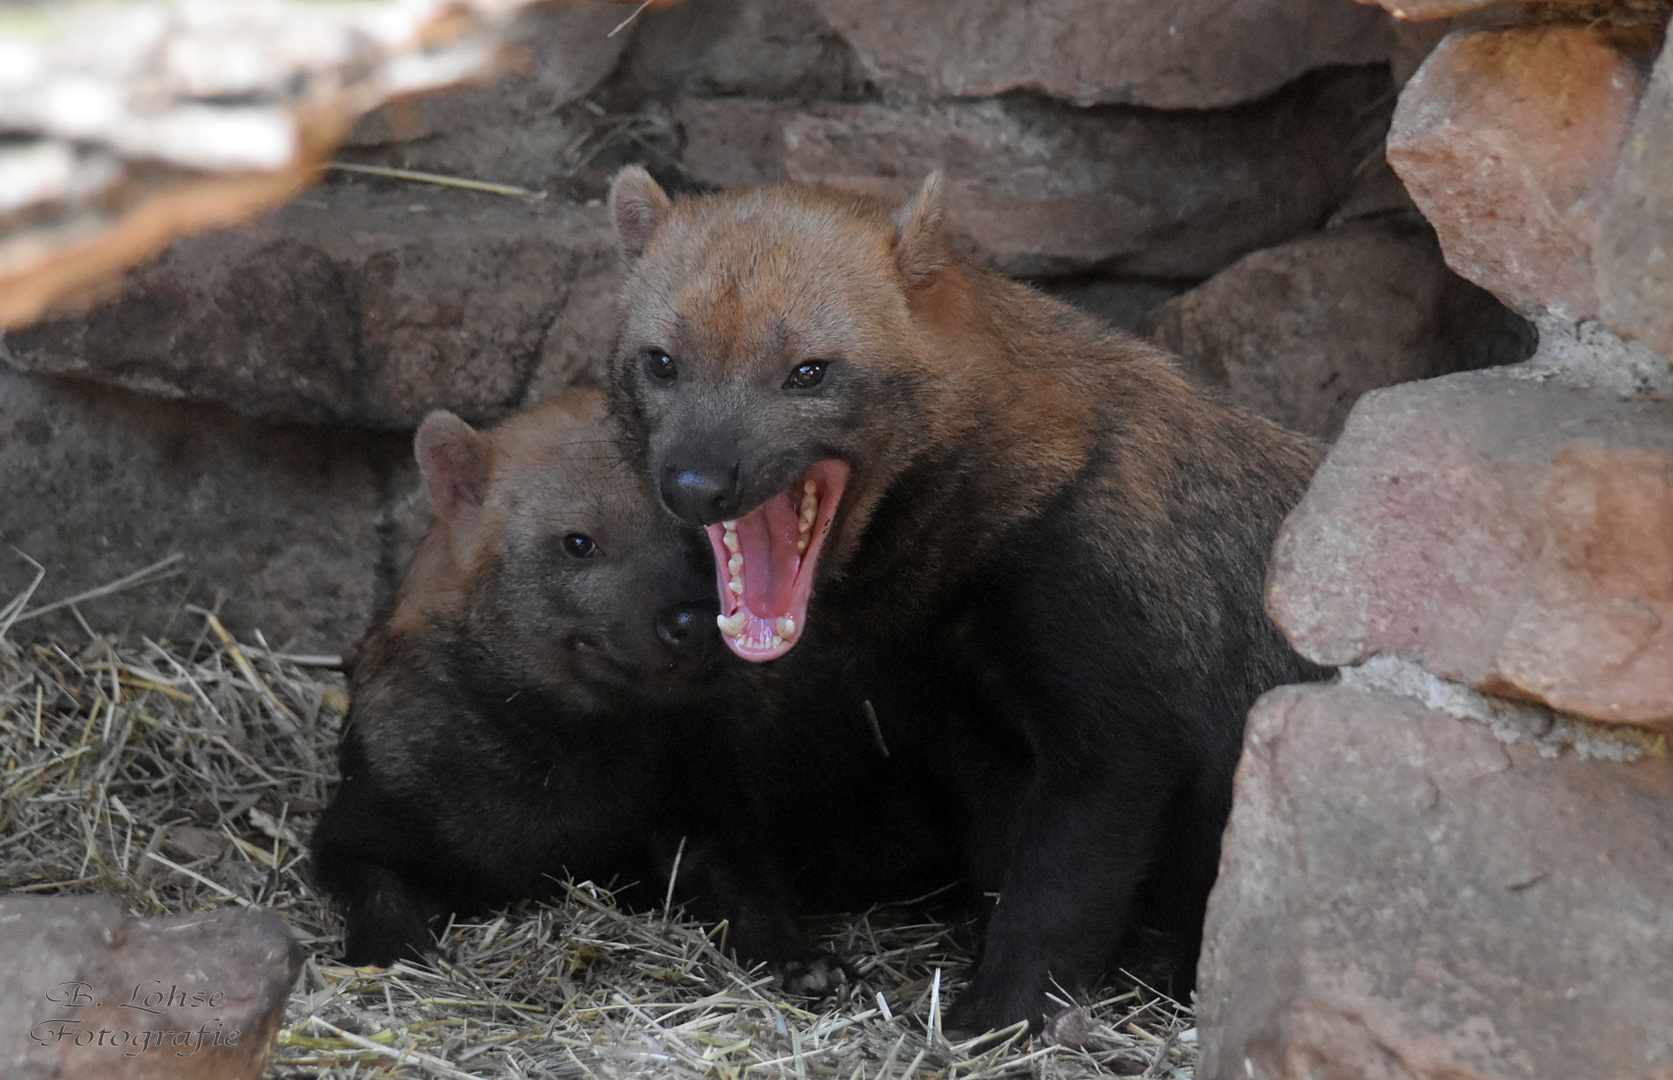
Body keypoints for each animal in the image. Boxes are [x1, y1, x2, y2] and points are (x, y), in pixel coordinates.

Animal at [309, 392, 910, 996]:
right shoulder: (360, 821)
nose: (690, 620)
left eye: (705, 537)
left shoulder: (708, 812)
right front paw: (391, 955)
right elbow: (374, 886)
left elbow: (750, 892)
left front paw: (805, 964)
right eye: (579, 543)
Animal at [608, 171, 1325, 1043]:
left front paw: (991, 1020)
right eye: (661, 361)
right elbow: (1001, 863)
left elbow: (1057, 889)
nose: (694, 483)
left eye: (808, 371)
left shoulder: (1121, 729)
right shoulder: (972, 730)